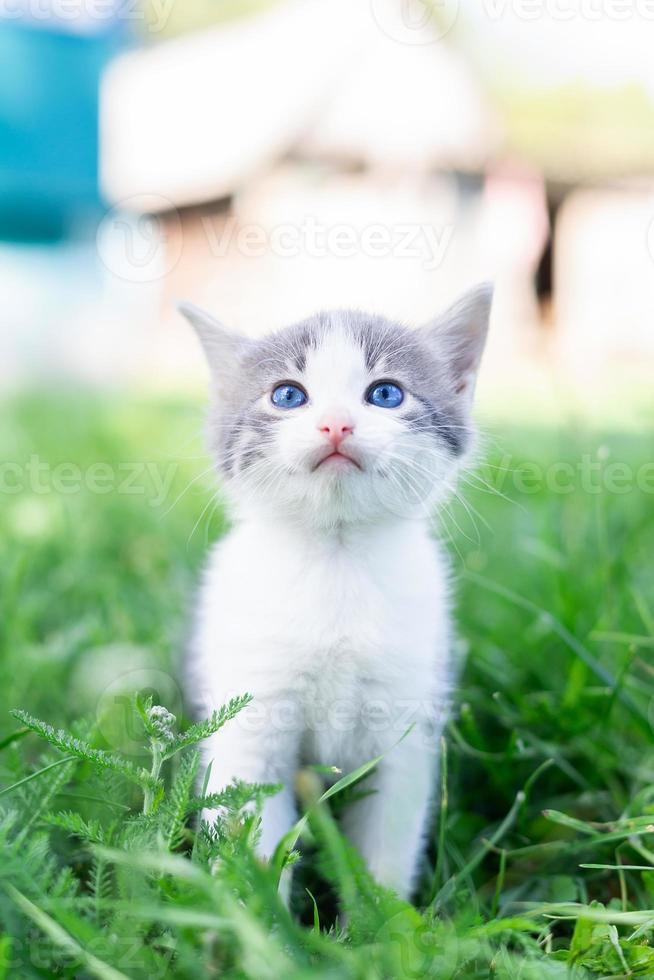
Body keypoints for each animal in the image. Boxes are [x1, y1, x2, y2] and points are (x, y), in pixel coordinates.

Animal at [179, 282, 492, 896]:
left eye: (386, 393)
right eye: (287, 395)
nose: (337, 424)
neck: (336, 559)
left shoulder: (405, 725)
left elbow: (387, 846)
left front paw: (382, 919)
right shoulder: (251, 720)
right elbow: (249, 832)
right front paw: (259, 916)